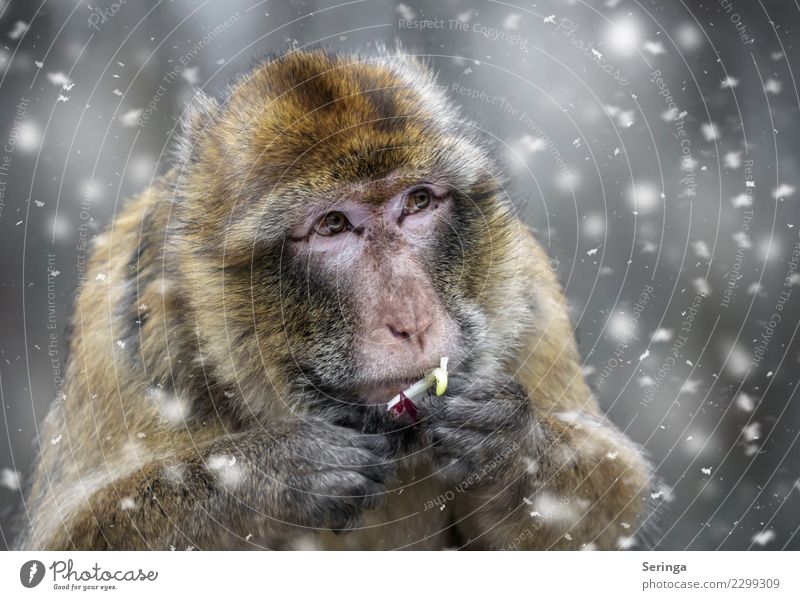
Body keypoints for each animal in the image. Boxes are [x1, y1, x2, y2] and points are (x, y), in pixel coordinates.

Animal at [18, 49, 652, 552]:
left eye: (417, 202)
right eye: (332, 225)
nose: (412, 321)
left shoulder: (524, 287)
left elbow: (614, 504)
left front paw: (510, 443)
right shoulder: (126, 319)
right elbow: (68, 534)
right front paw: (277, 474)